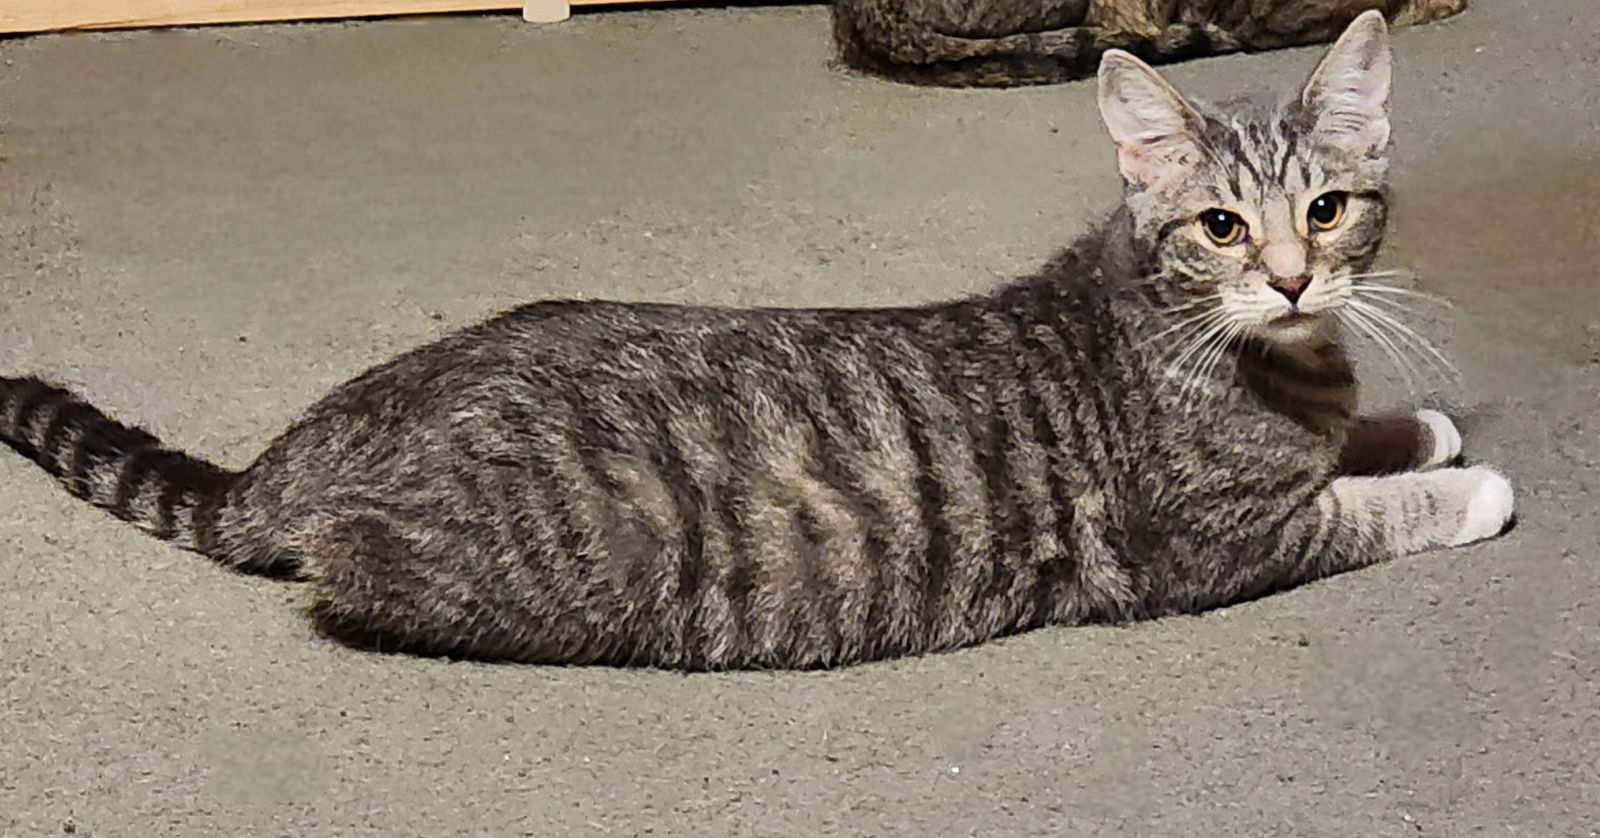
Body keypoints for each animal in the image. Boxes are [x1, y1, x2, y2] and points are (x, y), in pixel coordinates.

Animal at [0, 12, 1512, 671]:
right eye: (1217, 224)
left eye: (1327, 208)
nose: (1294, 279)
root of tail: (310, 445)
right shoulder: (1210, 544)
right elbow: (1367, 508)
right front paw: (1463, 479)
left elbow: (1363, 436)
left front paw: (1414, 420)